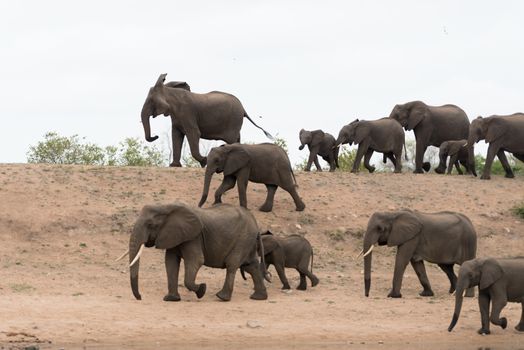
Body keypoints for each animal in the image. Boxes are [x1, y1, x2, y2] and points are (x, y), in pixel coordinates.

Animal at [116, 202, 268, 300]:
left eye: (150, 225)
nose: (140, 297)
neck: (166, 207)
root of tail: (256, 225)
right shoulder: (174, 234)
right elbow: (170, 262)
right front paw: (171, 299)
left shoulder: (194, 237)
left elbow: (196, 260)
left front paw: (202, 290)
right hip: (248, 241)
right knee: (251, 266)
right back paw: (259, 297)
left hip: (243, 238)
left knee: (232, 264)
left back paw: (222, 297)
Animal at [141, 73, 272, 167]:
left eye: (151, 101)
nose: (155, 136)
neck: (170, 91)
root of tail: (244, 108)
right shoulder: (177, 116)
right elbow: (176, 135)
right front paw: (174, 166)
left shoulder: (187, 113)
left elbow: (194, 133)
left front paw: (204, 161)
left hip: (234, 120)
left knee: (232, 140)